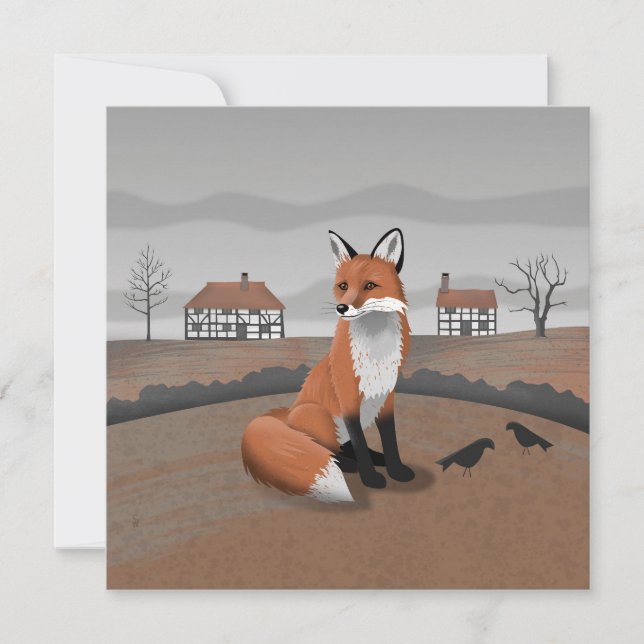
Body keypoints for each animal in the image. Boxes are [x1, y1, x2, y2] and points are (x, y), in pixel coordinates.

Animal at [241, 228, 414, 502]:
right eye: (343, 286)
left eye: (369, 285)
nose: (342, 307)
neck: (376, 352)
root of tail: (287, 415)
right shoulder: (348, 398)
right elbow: (360, 443)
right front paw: (370, 478)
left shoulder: (386, 396)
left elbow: (390, 441)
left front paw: (396, 469)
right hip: (320, 416)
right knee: (329, 449)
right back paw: (350, 465)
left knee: (345, 447)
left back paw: (376, 459)